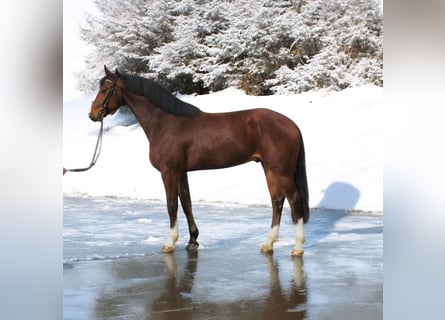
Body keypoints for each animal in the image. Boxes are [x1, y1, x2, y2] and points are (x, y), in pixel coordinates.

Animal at [88, 66, 306, 256]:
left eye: (105, 90)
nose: (93, 114)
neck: (165, 123)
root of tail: (291, 124)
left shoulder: (169, 172)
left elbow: (172, 205)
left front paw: (170, 243)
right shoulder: (181, 172)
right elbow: (186, 203)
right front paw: (193, 240)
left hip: (282, 171)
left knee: (294, 199)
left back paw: (297, 247)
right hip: (269, 169)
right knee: (277, 201)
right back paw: (268, 244)